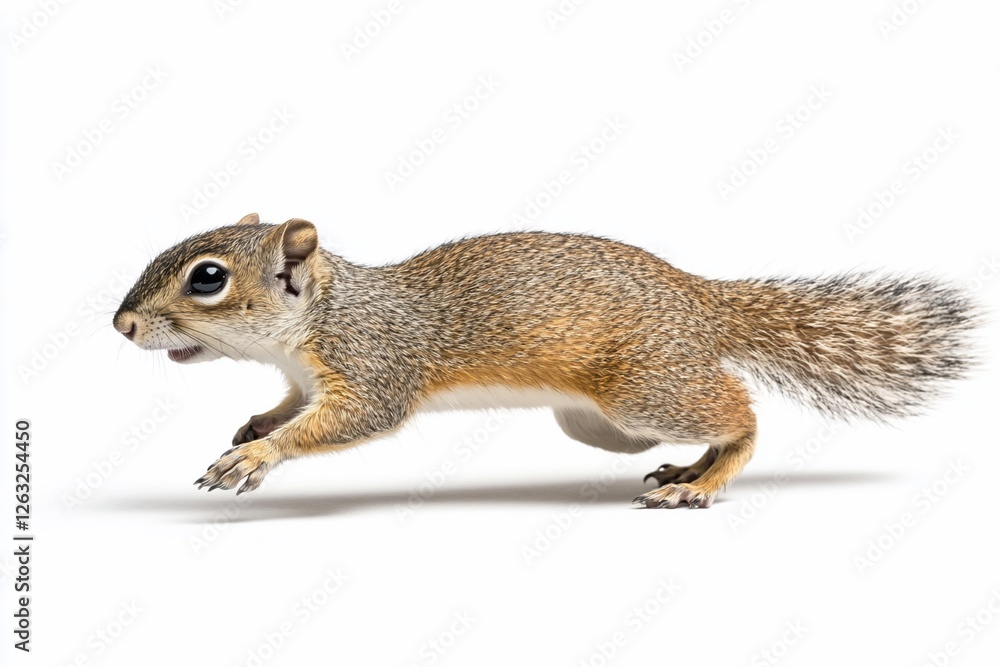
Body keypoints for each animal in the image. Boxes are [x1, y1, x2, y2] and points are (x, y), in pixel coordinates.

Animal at [113, 213, 978, 508]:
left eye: (209, 278)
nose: (122, 323)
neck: (318, 318)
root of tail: (699, 298)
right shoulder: (302, 377)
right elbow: (291, 406)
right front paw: (254, 425)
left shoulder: (378, 361)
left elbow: (353, 418)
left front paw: (258, 455)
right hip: (603, 424)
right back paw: (686, 467)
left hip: (642, 388)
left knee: (742, 412)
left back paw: (702, 484)